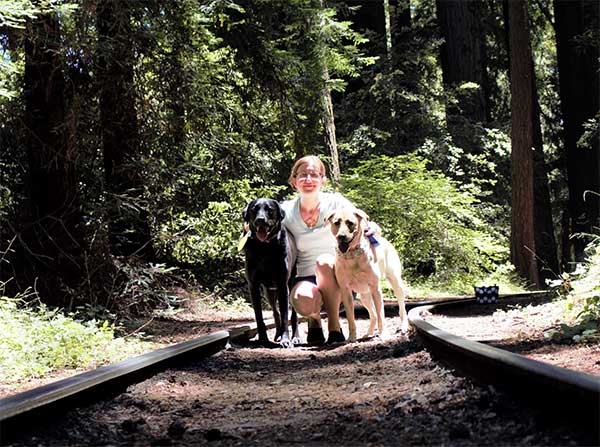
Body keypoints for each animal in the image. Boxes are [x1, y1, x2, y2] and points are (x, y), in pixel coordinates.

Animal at [241, 198, 298, 348]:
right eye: (254, 209)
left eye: (270, 210)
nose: (260, 220)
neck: (264, 248)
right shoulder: (253, 286)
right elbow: (259, 316)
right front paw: (263, 339)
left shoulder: (283, 285)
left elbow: (285, 315)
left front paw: (286, 339)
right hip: (268, 292)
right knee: (275, 311)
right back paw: (277, 334)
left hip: (292, 284)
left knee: (293, 314)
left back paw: (295, 337)